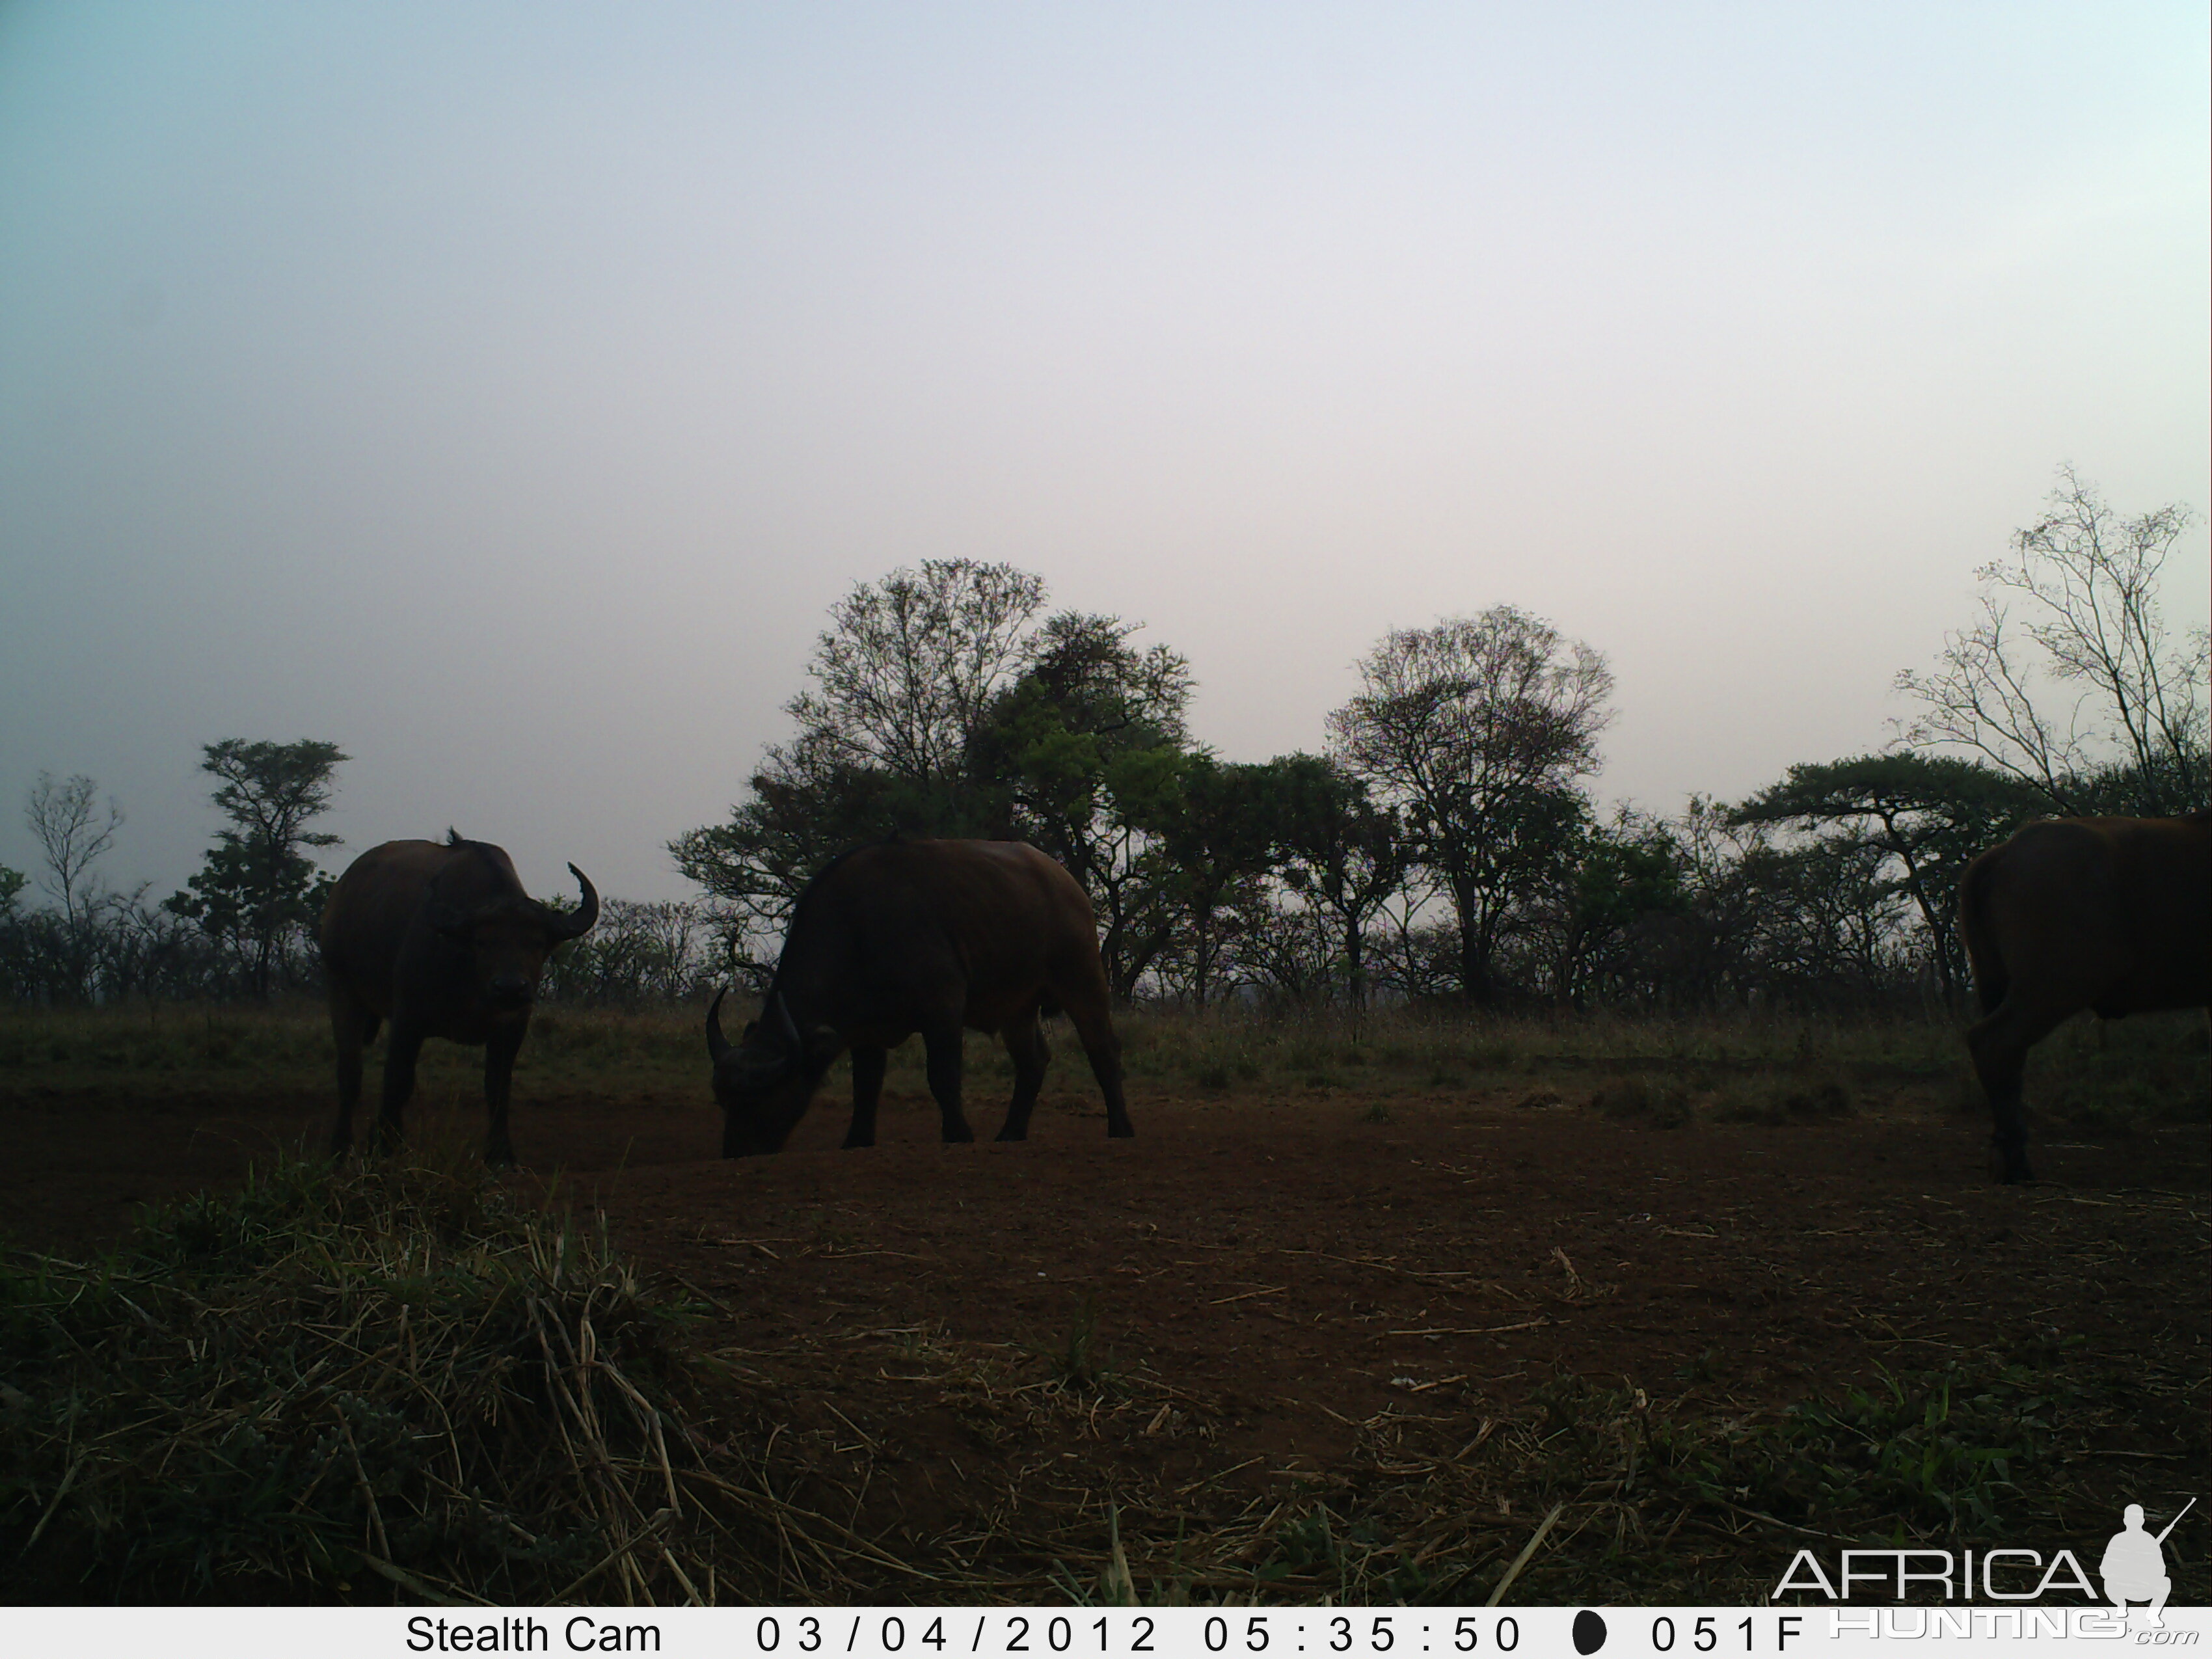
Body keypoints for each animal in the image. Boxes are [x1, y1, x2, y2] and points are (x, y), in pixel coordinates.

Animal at [321, 831, 597, 1168]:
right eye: (482, 941)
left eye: (537, 942)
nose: (510, 988)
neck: (473, 982)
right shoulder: (407, 1020)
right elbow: (397, 1080)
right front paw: (384, 1145)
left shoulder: (512, 1028)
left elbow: (498, 1086)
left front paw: (501, 1154)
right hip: (341, 988)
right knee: (350, 1073)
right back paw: (339, 1148)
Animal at [708, 844, 1132, 1159]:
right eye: (724, 1102)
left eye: (762, 1098)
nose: (736, 1152)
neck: (859, 930)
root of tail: (1068, 885)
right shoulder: (866, 1033)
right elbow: (865, 1087)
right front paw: (857, 1140)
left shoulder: (943, 1008)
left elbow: (942, 1076)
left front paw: (958, 1133)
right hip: (1018, 1008)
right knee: (1033, 1062)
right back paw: (1010, 1132)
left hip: (1083, 980)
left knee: (1103, 1049)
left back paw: (1121, 1127)